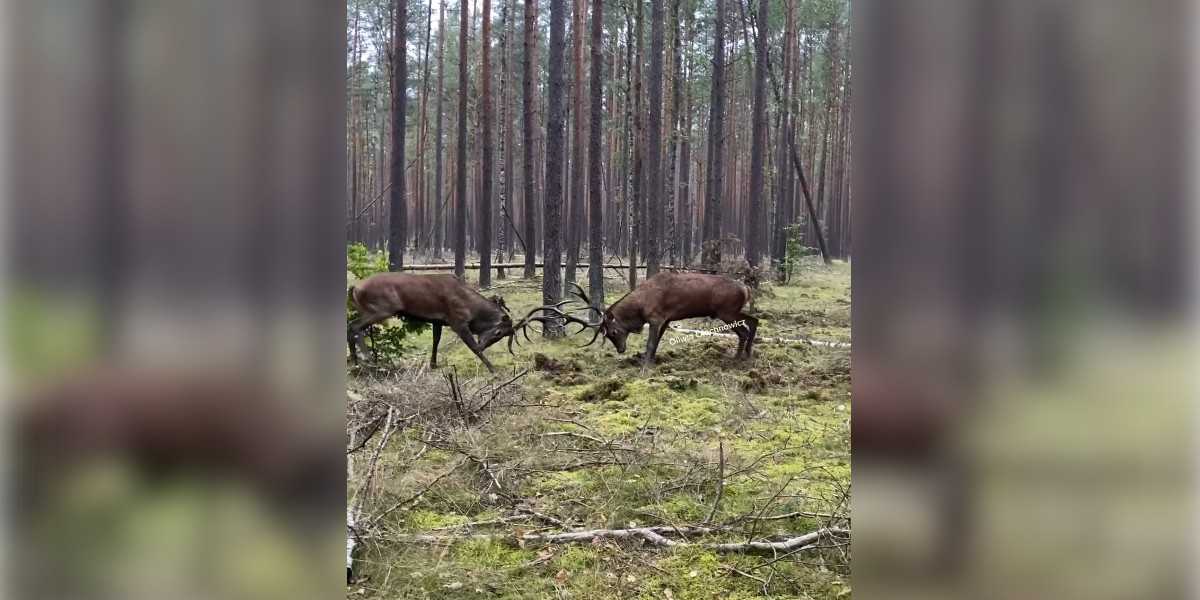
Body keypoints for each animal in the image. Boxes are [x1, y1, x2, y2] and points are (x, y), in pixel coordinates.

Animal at [348, 274, 516, 372]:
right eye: (498, 332)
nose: (483, 345)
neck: (470, 307)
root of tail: (354, 288)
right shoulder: (457, 321)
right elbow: (472, 347)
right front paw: (492, 368)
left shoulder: (438, 320)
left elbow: (436, 340)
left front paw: (433, 364)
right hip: (380, 309)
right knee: (353, 326)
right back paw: (367, 358)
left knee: (351, 326)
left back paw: (355, 362)